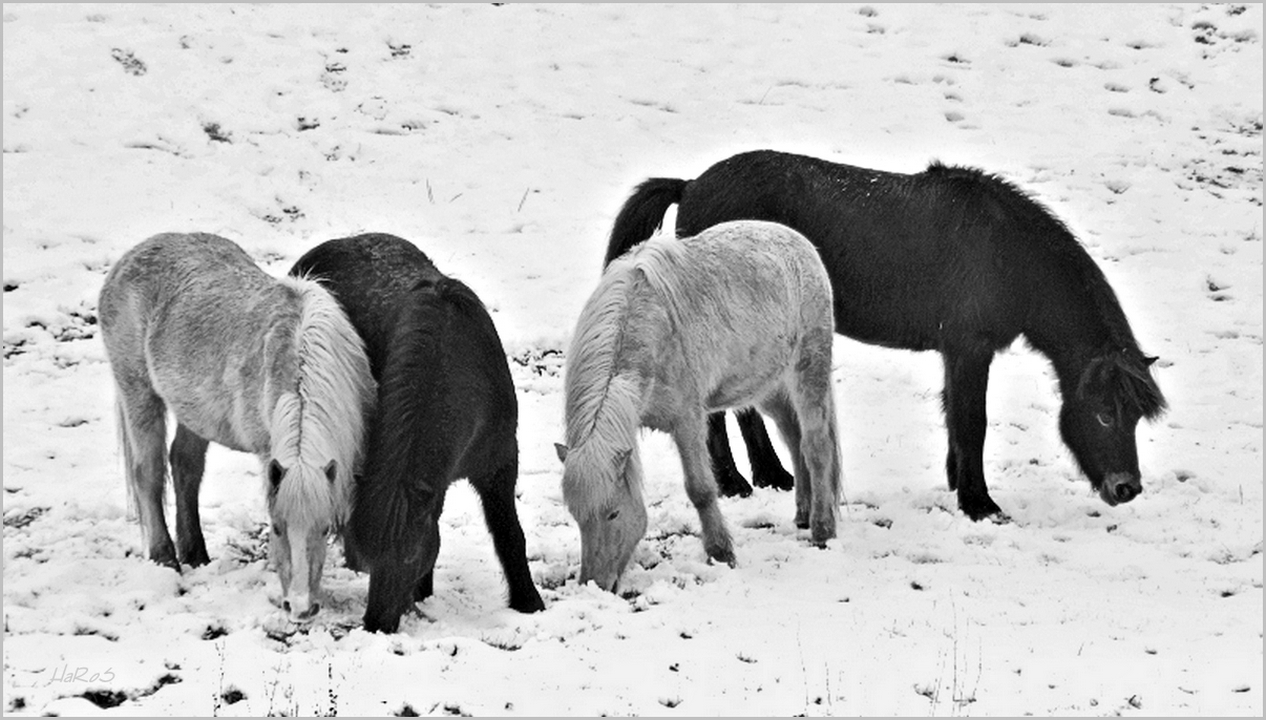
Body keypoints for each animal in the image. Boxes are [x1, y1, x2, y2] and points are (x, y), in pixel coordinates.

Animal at [98, 232, 374, 620]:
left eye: (324, 529)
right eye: (277, 529)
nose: (300, 608)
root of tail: (129, 258)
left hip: (193, 412)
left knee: (184, 467)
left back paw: (196, 554)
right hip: (138, 391)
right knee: (147, 474)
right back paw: (165, 558)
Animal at [291, 232, 549, 632]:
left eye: (411, 557)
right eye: (370, 558)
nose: (376, 625)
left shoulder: (500, 463)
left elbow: (509, 534)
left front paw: (529, 602)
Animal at [559, 218, 845, 589]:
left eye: (613, 513)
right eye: (577, 516)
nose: (594, 584)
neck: (646, 330)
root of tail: (800, 243)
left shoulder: (688, 422)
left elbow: (701, 489)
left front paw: (721, 554)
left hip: (808, 373)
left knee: (816, 446)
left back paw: (822, 530)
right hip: (768, 389)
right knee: (795, 441)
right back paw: (803, 515)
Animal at [605, 149, 1164, 521]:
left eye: (1137, 415)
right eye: (1105, 413)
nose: (1127, 488)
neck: (1005, 253)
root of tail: (691, 184)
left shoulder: (957, 352)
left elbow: (955, 417)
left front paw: (958, 483)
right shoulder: (970, 348)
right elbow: (973, 421)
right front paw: (979, 504)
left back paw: (771, 476)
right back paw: (737, 482)